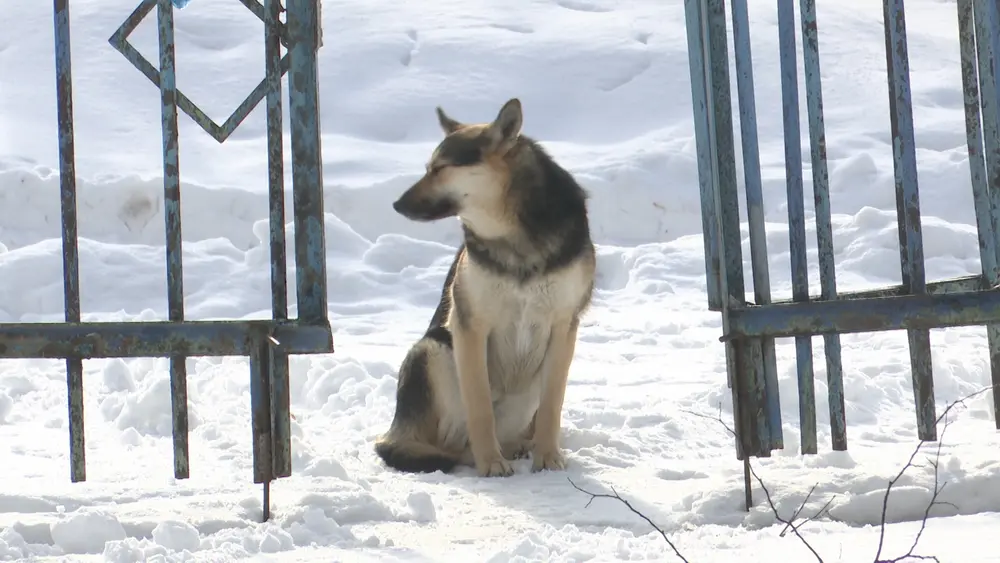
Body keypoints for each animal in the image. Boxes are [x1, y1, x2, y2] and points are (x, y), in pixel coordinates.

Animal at [374, 99, 592, 478]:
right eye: (428, 168)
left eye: (439, 169)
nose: (396, 205)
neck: (513, 236)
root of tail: (397, 430)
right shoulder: (469, 326)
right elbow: (479, 407)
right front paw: (490, 462)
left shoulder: (564, 325)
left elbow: (552, 405)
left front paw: (548, 457)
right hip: (432, 350)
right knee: (446, 446)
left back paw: (520, 446)